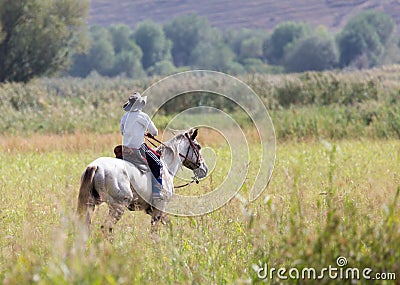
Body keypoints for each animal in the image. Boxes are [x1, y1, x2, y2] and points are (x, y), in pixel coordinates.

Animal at [76, 127, 208, 232]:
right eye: (198, 146)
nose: (204, 169)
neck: (166, 166)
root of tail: (95, 166)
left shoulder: (152, 210)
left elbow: (168, 224)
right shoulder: (160, 207)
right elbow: (154, 231)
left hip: (91, 204)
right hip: (118, 207)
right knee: (106, 228)